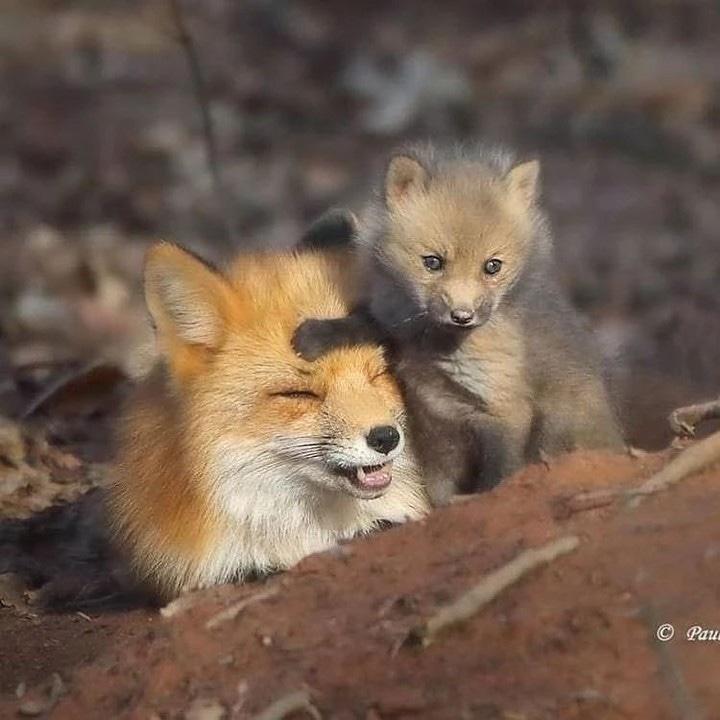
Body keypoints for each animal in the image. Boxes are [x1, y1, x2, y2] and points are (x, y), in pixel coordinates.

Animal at [294, 143, 625, 505]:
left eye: (492, 266)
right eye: (433, 262)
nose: (462, 316)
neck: (436, 349)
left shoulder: (503, 408)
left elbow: (498, 476)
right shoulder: (403, 338)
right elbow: (366, 323)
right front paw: (317, 334)